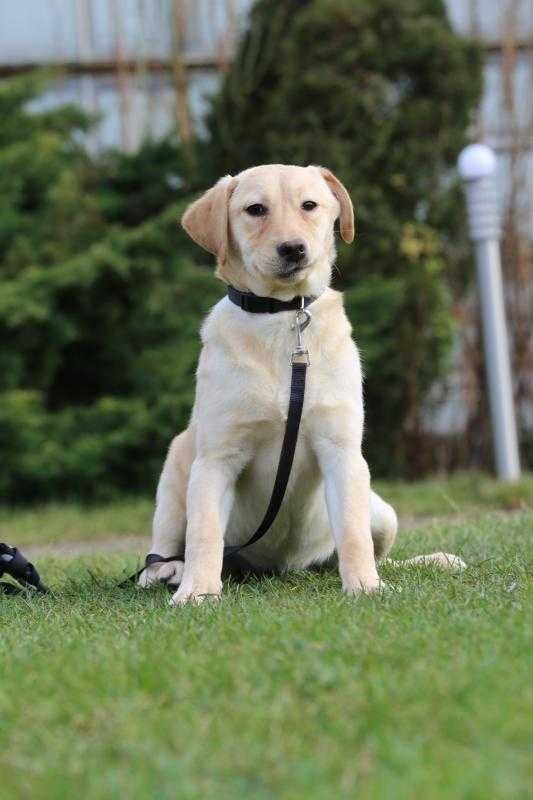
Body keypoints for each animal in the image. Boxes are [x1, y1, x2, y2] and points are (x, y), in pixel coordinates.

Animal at [139, 166, 464, 604]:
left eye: (309, 205)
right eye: (255, 210)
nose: (292, 249)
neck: (283, 315)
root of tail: (284, 568)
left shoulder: (341, 451)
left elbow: (354, 535)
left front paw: (365, 587)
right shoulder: (216, 458)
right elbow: (203, 534)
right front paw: (197, 593)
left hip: (383, 512)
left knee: (366, 550)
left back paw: (421, 563)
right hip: (176, 472)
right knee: (163, 551)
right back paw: (169, 571)